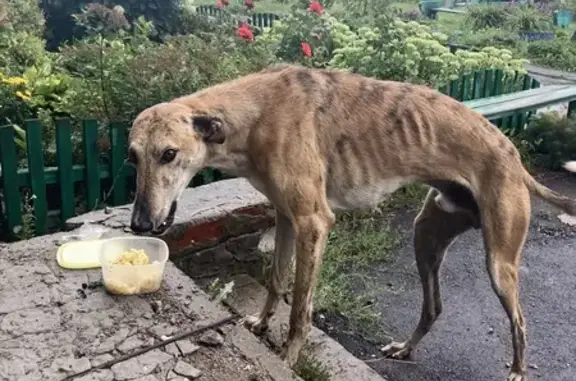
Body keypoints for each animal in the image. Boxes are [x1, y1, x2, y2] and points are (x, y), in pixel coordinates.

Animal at [129, 63, 576, 378]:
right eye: (133, 157)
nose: (138, 226)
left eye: (169, 153)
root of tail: (513, 157)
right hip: (425, 237)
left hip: (500, 262)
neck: (257, 113)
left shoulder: (313, 222)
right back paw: (405, 349)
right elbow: (276, 282)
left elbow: (300, 308)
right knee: (434, 307)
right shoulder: (286, 217)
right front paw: (260, 322)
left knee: (520, 322)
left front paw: (289, 358)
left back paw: (517, 371)